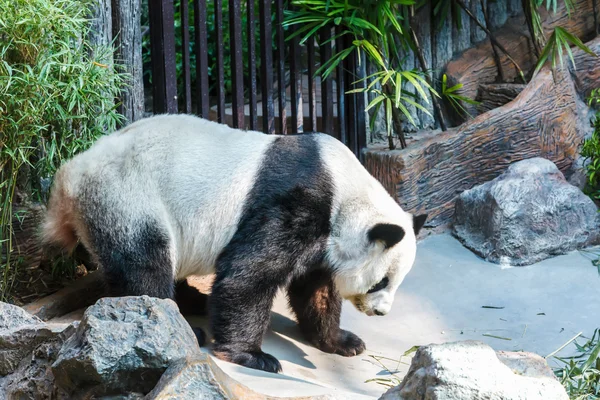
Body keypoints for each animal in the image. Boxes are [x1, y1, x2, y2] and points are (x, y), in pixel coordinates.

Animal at [41, 114, 426, 374]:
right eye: (381, 281)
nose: (381, 312)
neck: (346, 193)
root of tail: (66, 182)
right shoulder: (296, 200)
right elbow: (250, 275)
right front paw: (254, 356)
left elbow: (315, 289)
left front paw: (342, 341)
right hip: (128, 198)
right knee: (145, 266)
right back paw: (179, 325)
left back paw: (194, 301)